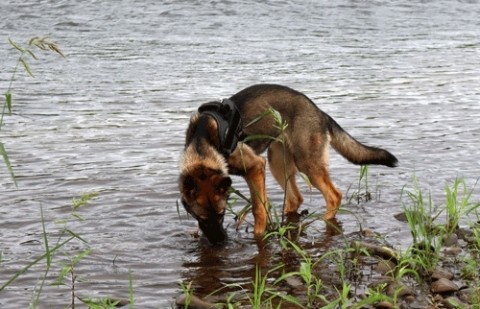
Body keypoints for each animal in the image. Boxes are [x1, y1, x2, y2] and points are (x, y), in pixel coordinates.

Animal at [178, 83, 396, 243]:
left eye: (222, 214)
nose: (219, 243)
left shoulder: (255, 167)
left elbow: (259, 208)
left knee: (334, 196)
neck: (203, 142)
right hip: (277, 162)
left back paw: (323, 221)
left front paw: (259, 236)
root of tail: (320, 113)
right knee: (295, 198)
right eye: (201, 218)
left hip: (307, 164)